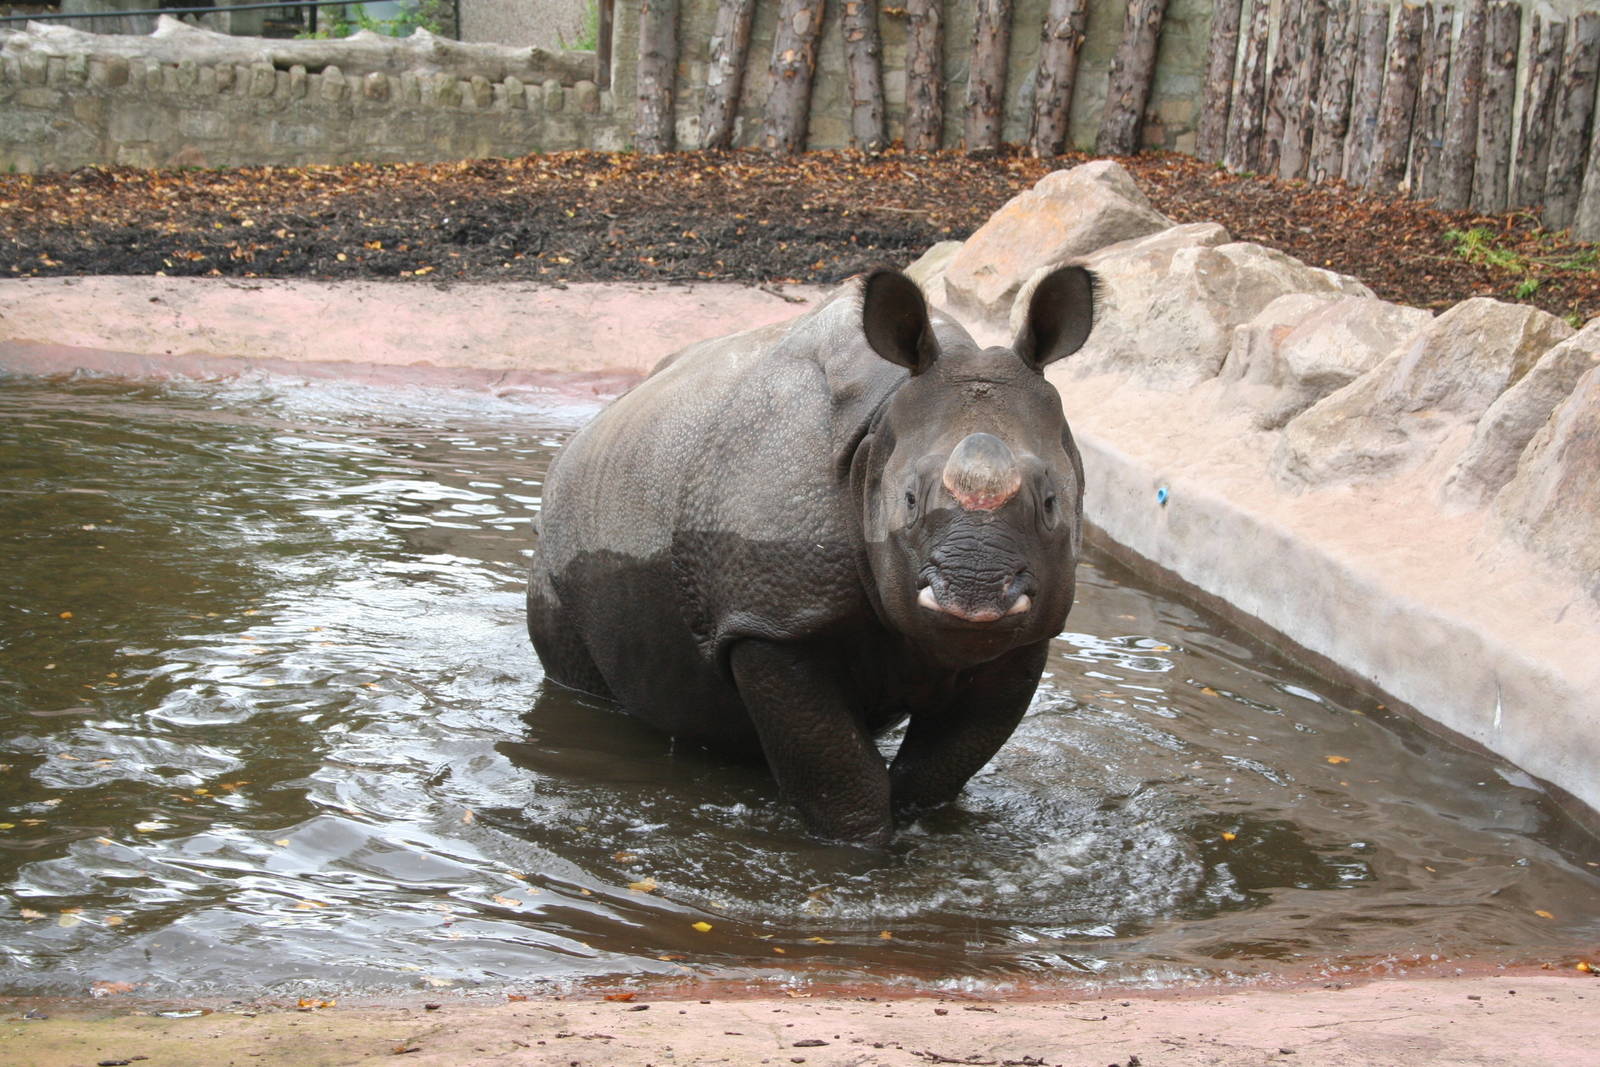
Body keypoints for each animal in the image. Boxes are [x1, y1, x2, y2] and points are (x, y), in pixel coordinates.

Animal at [527, 267, 1095, 845]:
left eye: (1052, 502)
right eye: (909, 500)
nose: (974, 598)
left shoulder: (1023, 638)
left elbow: (940, 767)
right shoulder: (770, 621)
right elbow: (841, 779)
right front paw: (862, 849)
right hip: (557, 543)